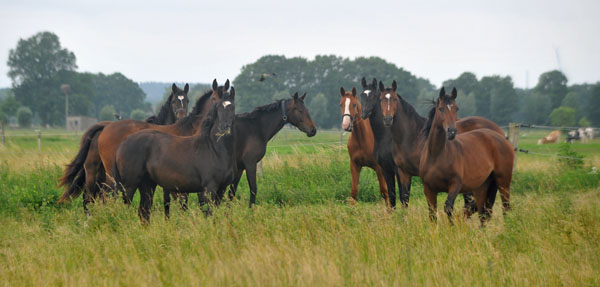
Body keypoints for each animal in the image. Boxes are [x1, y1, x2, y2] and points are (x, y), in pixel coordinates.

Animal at [57, 83, 191, 214]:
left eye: (187, 100)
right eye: (174, 101)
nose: (182, 117)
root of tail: (103, 128)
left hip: (96, 172)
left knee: (91, 196)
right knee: (94, 196)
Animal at [112, 89, 237, 224]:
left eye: (232, 107)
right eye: (218, 106)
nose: (224, 127)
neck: (214, 149)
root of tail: (123, 144)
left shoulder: (221, 188)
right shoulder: (209, 188)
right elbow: (208, 214)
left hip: (147, 185)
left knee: (143, 213)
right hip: (129, 185)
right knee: (125, 209)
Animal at [378, 80, 504, 212]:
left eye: (395, 99)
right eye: (381, 99)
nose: (388, 119)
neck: (411, 137)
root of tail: (498, 131)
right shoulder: (404, 172)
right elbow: (404, 199)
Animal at [420, 86, 512, 226]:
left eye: (456, 108)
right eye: (440, 108)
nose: (452, 132)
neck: (436, 155)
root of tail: (503, 138)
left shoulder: (455, 185)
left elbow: (448, 207)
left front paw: (452, 228)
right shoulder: (428, 189)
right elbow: (432, 214)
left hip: (503, 182)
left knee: (505, 207)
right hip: (481, 187)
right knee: (482, 213)